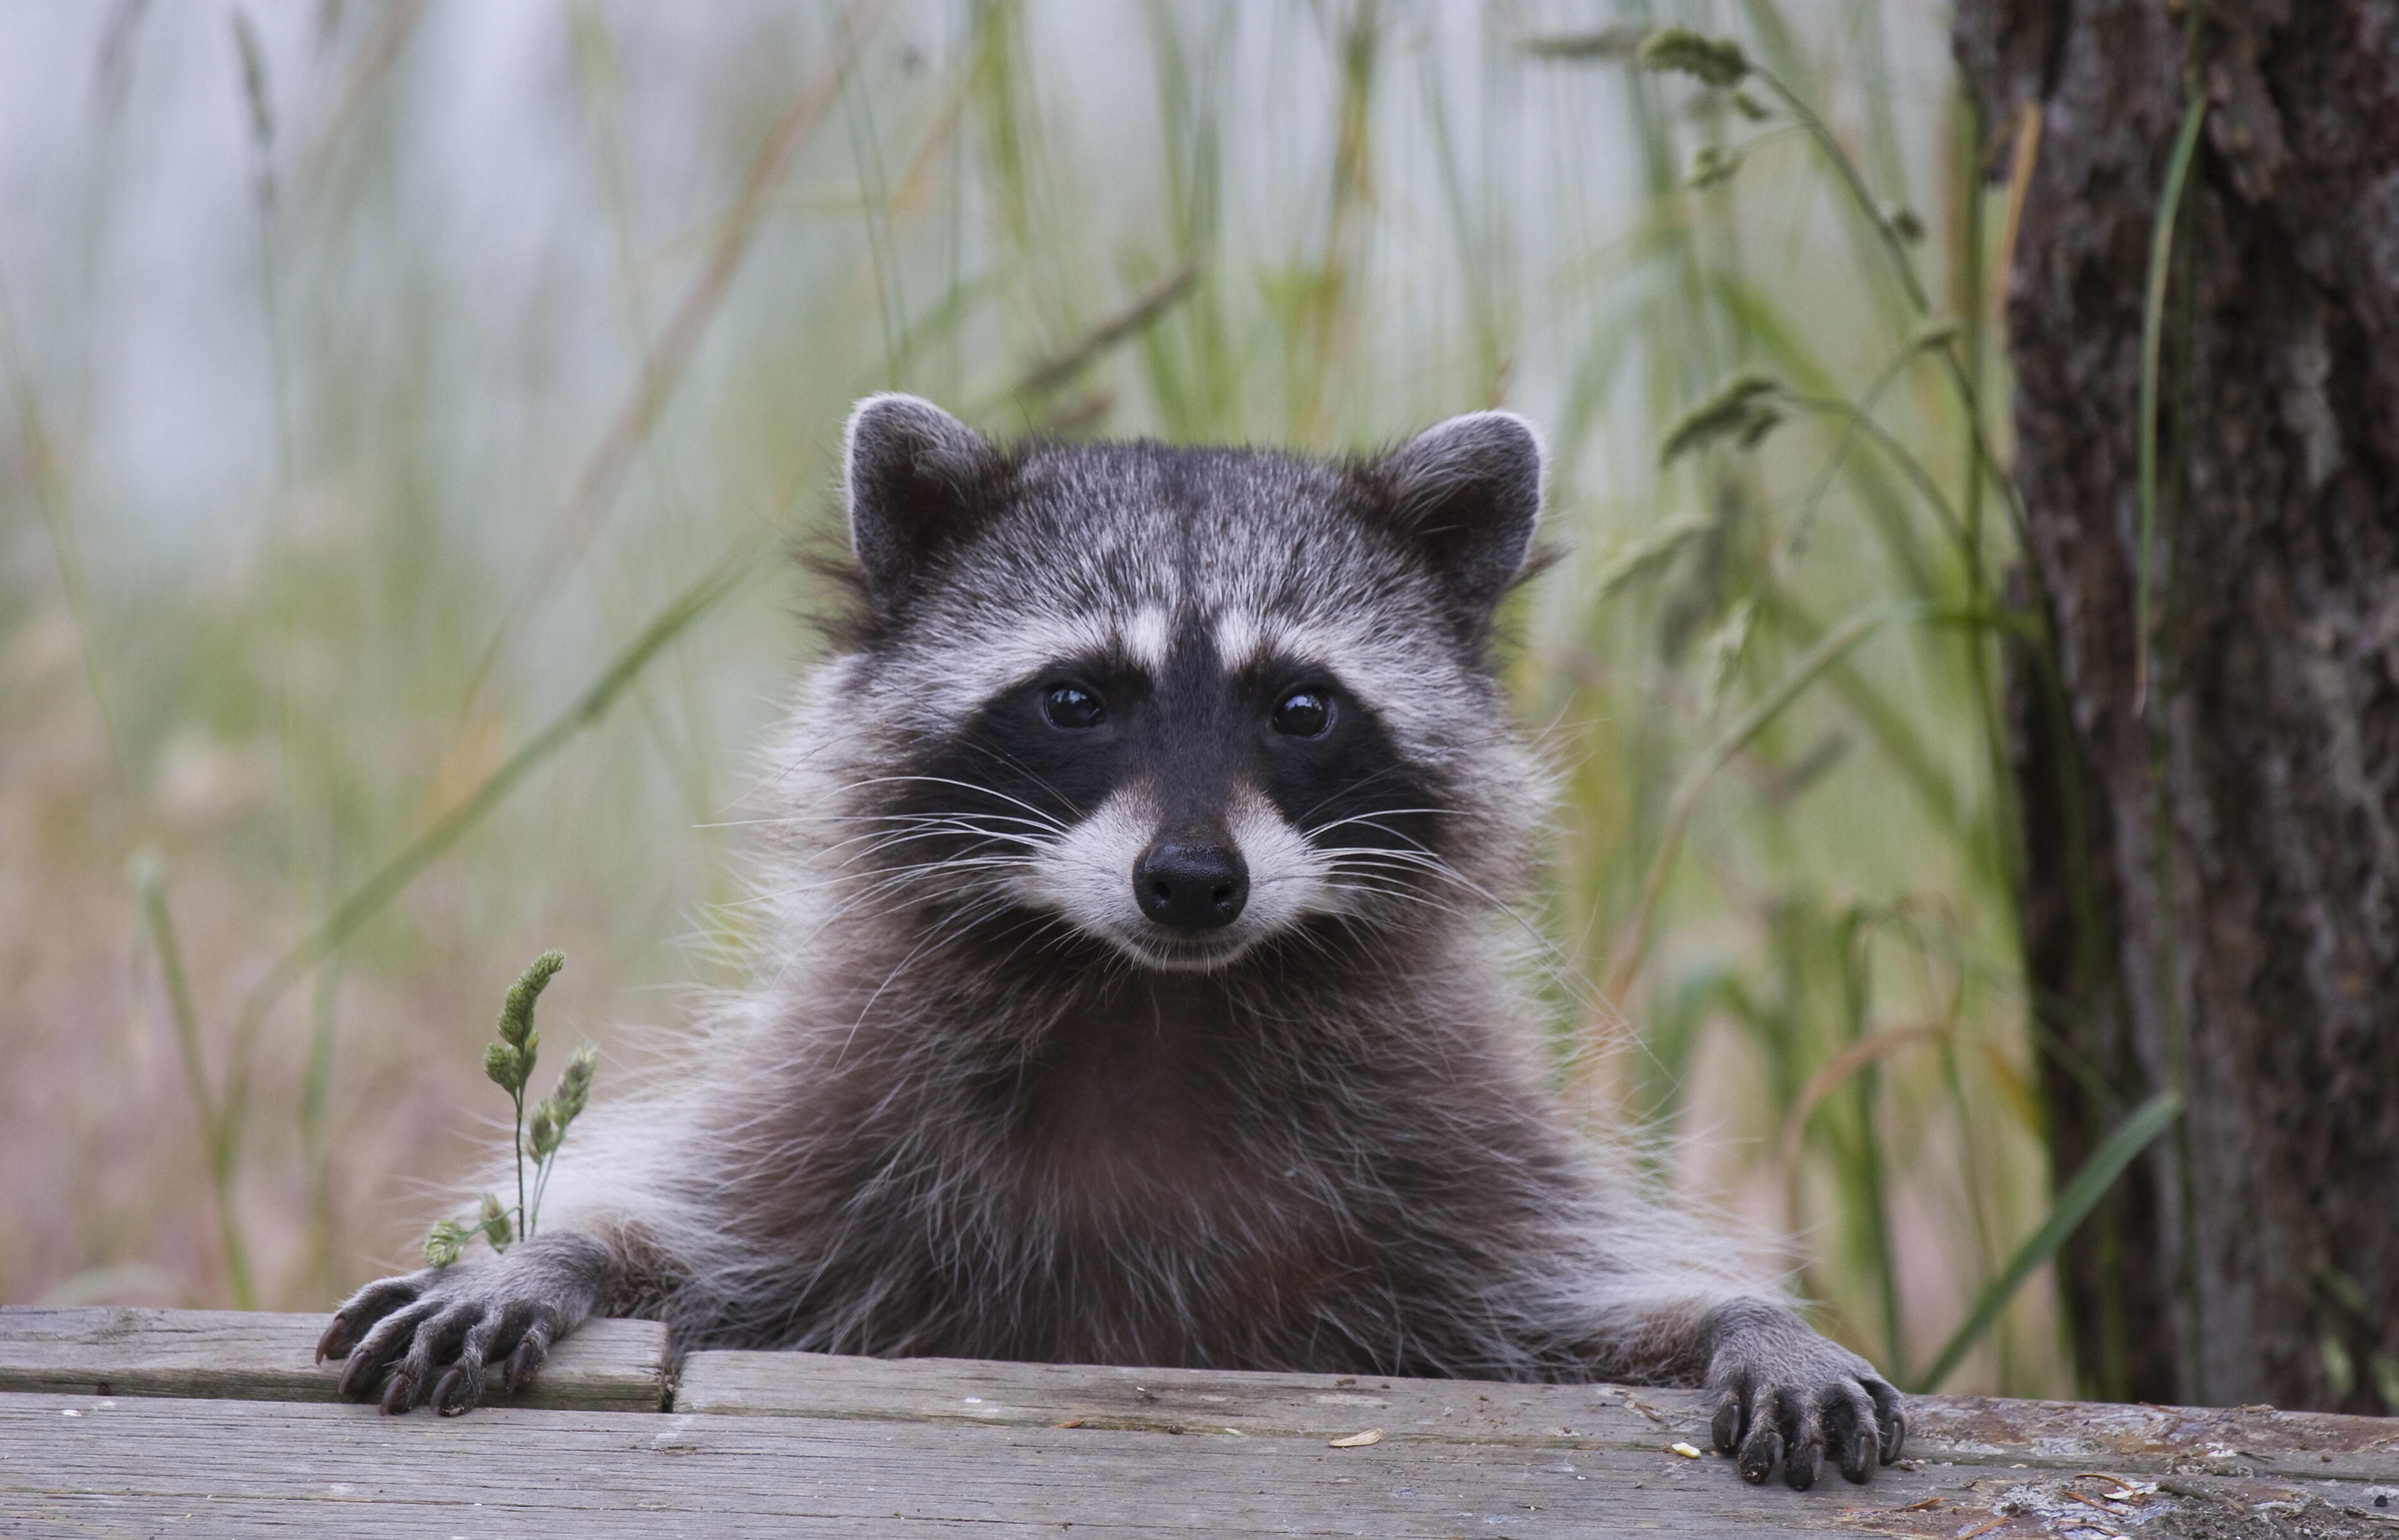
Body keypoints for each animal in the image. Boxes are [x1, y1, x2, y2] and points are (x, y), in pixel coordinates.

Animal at [319, 395, 1899, 1487]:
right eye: (1074, 698)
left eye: (1300, 706)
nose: (1191, 880)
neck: (1150, 1000)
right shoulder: (843, 1111)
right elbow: (704, 1236)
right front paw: (553, 1252)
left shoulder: (1444, 1158)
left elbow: (1570, 1308)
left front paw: (1743, 1314)